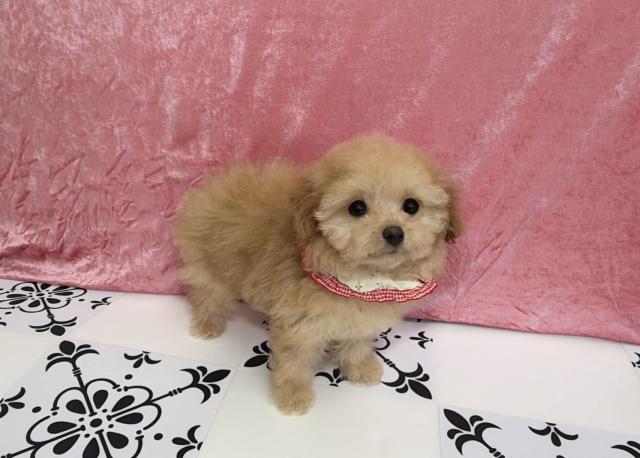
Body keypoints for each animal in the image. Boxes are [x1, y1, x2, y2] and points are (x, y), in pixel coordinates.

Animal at [175, 134, 461, 414]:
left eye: (411, 205)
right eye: (357, 208)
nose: (393, 233)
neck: (364, 277)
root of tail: (216, 183)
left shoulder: (358, 318)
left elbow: (356, 343)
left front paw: (360, 368)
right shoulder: (298, 327)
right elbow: (293, 363)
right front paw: (293, 396)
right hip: (210, 265)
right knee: (207, 293)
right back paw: (207, 324)